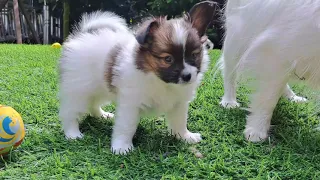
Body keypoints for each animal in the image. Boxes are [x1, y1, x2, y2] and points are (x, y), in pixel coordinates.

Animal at [58, 0, 218, 154]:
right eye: (168, 59)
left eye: (194, 55)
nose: (187, 76)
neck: (160, 81)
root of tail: (81, 35)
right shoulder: (130, 104)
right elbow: (126, 126)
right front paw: (122, 147)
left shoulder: (179, 104)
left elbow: (179, 122)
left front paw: (185, 137)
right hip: (79, 90)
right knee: (70, 112)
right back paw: (73, 134)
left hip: (99, 88)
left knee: (93, 104)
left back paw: (102, 115)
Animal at [218, 0, 320, 143]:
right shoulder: (275, 49)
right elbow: (268, 98)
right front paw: (256, 130)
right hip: (236, 38)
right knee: (229, 72)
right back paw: (229, 101)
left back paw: (293, 97)